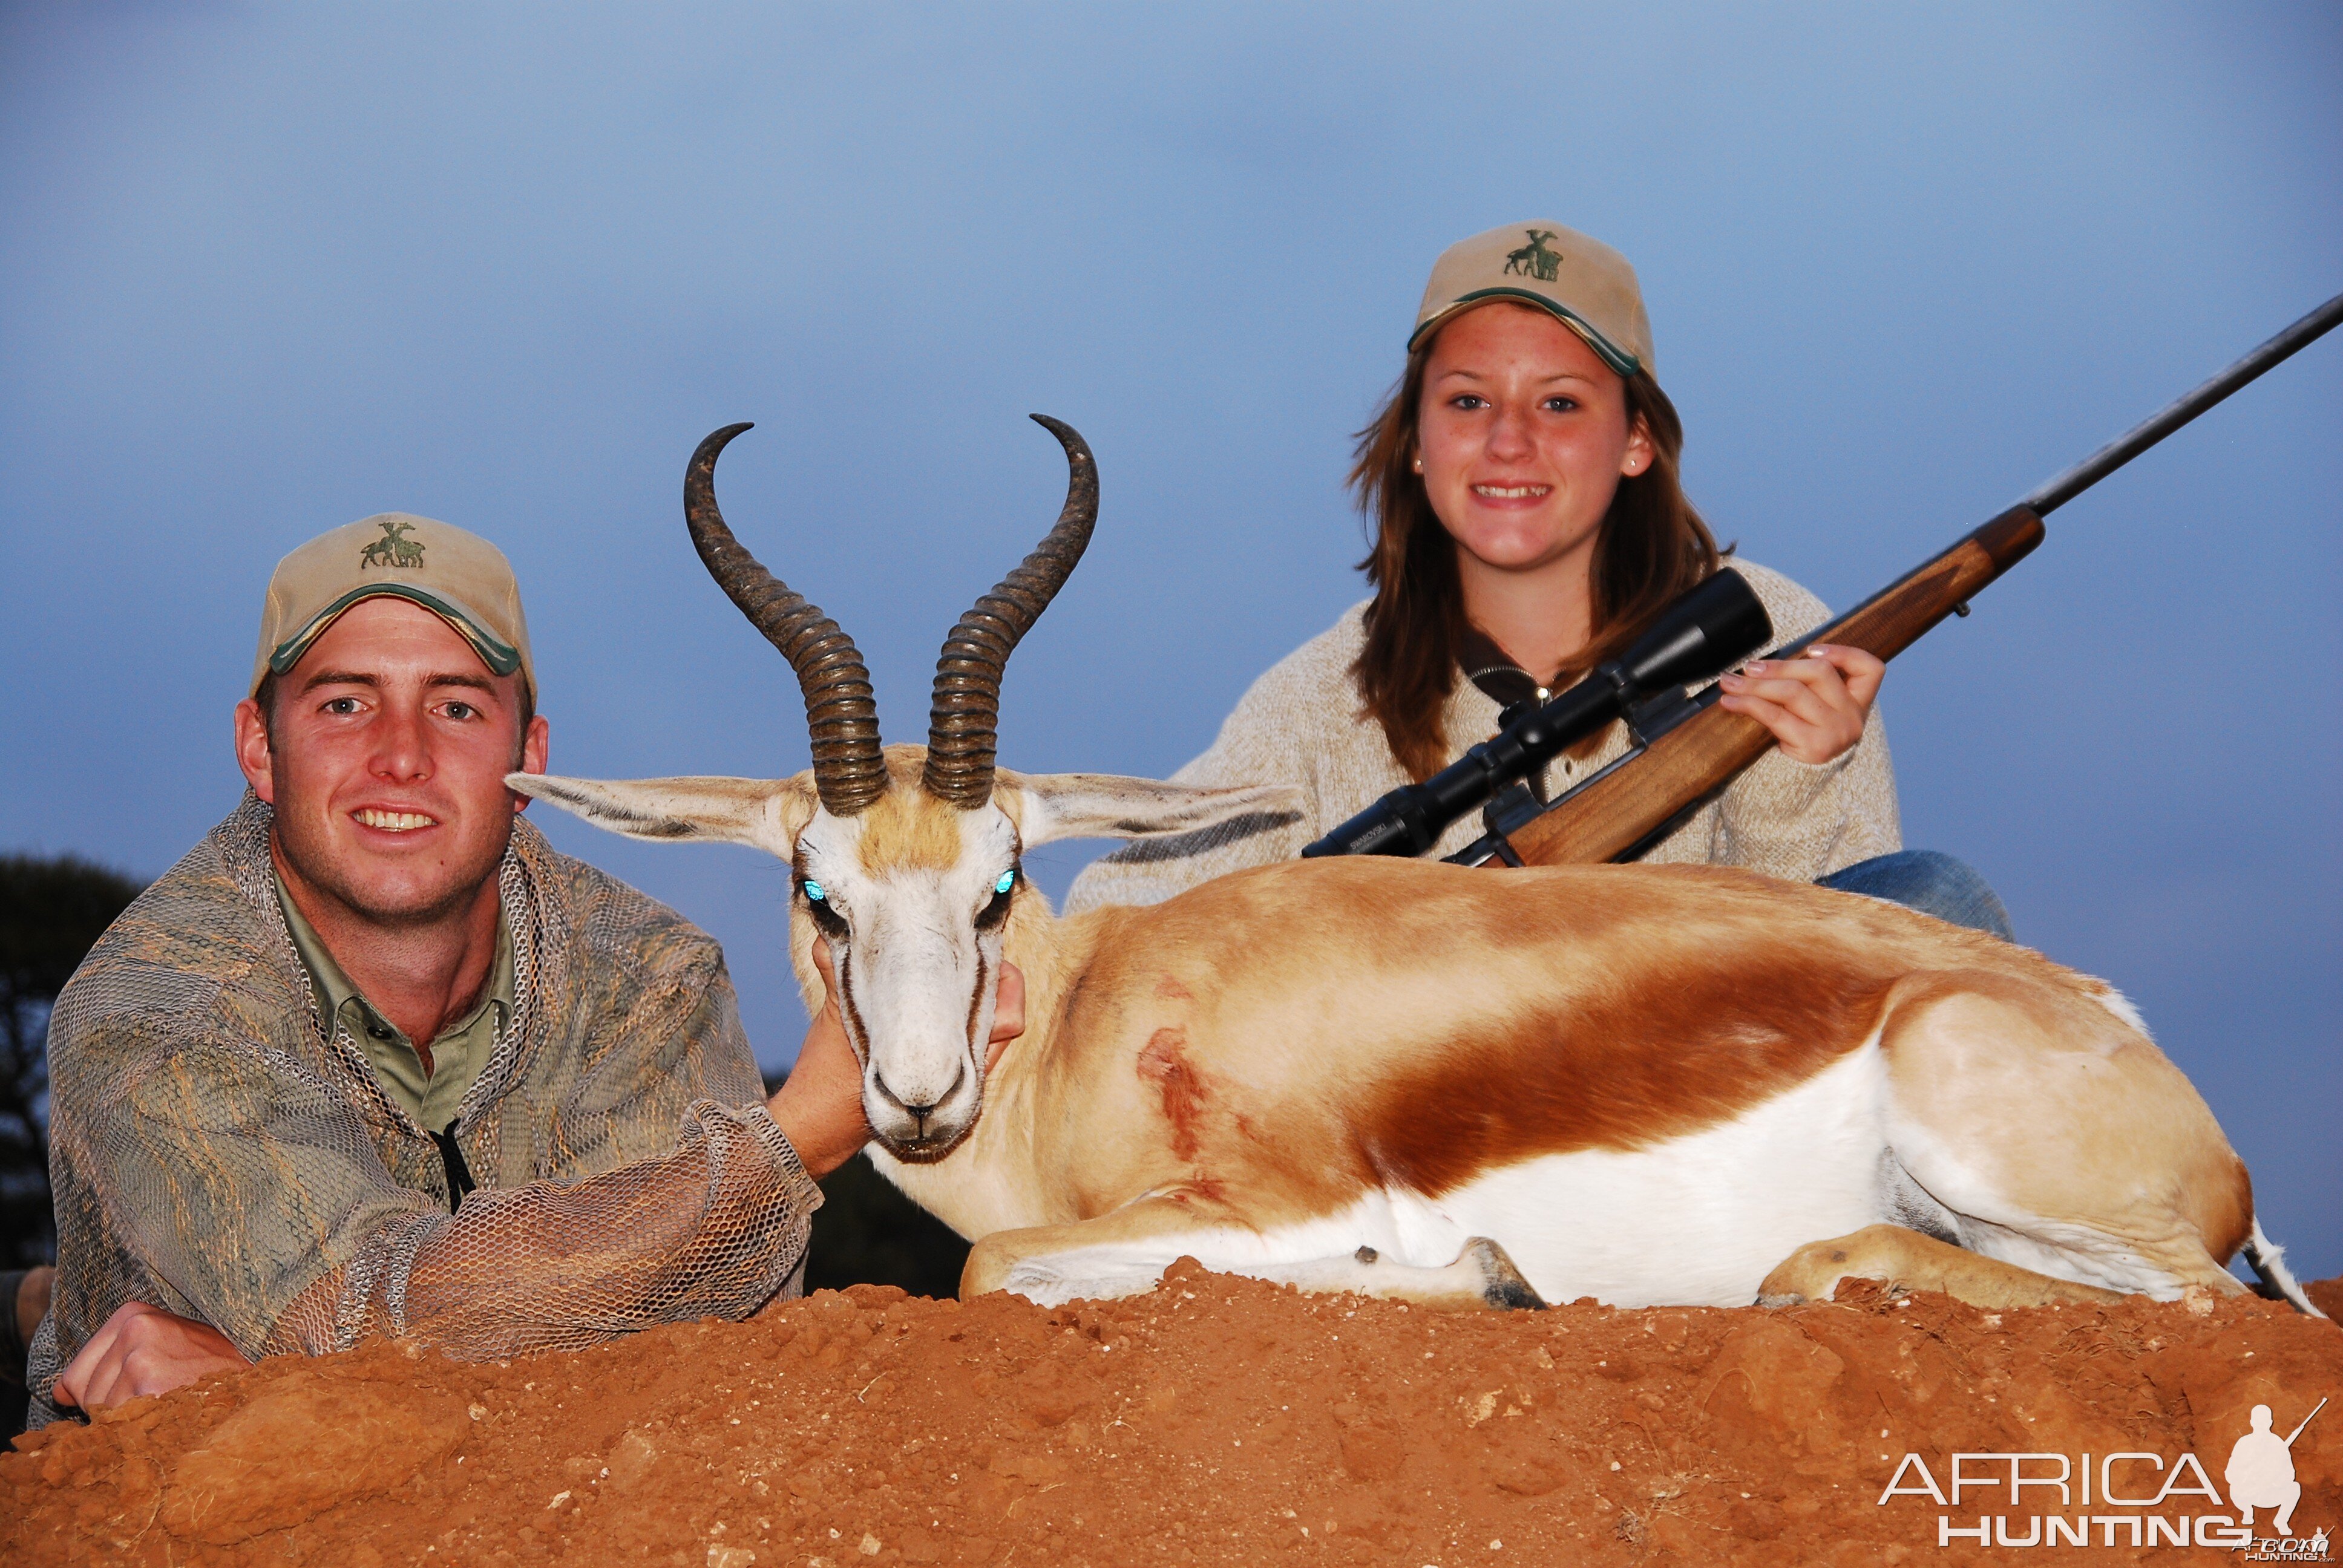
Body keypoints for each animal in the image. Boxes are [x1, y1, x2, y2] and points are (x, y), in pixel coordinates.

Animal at [503, 419, 2315, 1322]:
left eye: (1001, 883)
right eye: (822, 894)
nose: (920, 1096)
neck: (1089, 1038)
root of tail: (2124, 1029)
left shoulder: (1266, 1197)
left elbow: (1001, 1269)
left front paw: (1471, 1270)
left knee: (2195, 1312)